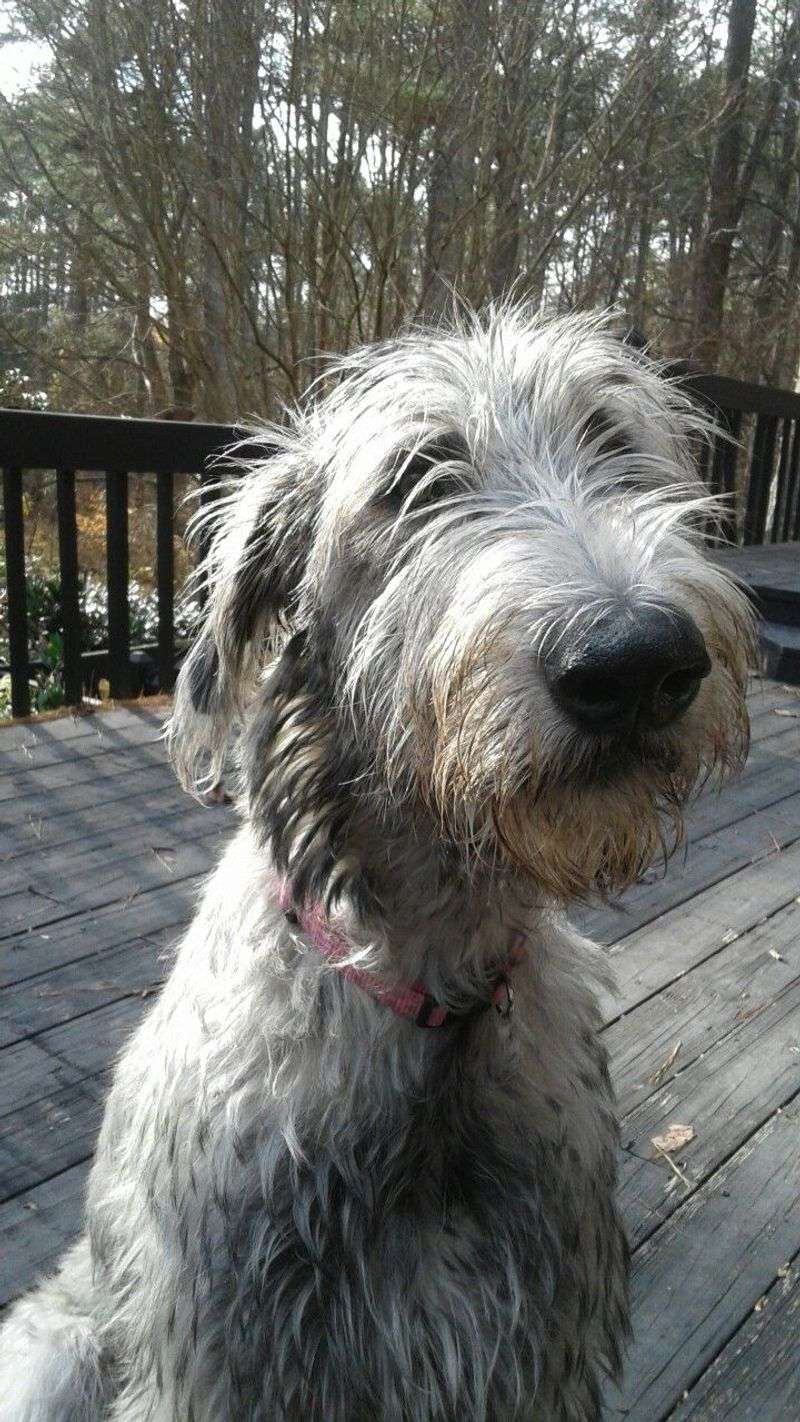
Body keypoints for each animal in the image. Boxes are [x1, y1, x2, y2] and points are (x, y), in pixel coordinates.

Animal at [0, 305, 755, 1416]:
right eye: (414, 479)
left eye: (613, 439)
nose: (634, 660)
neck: (432, 999)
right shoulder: (215, 1354)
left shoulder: (537, 1342)